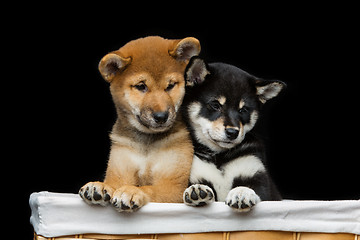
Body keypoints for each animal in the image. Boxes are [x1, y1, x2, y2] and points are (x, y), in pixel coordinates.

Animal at [79, 35, 201, 212]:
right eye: (141, 86)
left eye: (170, 85)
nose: (161, 116)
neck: (147, 142)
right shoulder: (120, 172)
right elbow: (113, 184)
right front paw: (99, 187)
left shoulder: (175, 186)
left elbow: (149, 188)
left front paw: (130, 191)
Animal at [183, 57, 284, 211]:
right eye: (215, 105)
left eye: (243, 110)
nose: (232, 132)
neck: (220, 156)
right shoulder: (196, 172)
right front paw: (197, 190)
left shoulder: (256, 174)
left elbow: (250, 188)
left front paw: (242, 193)